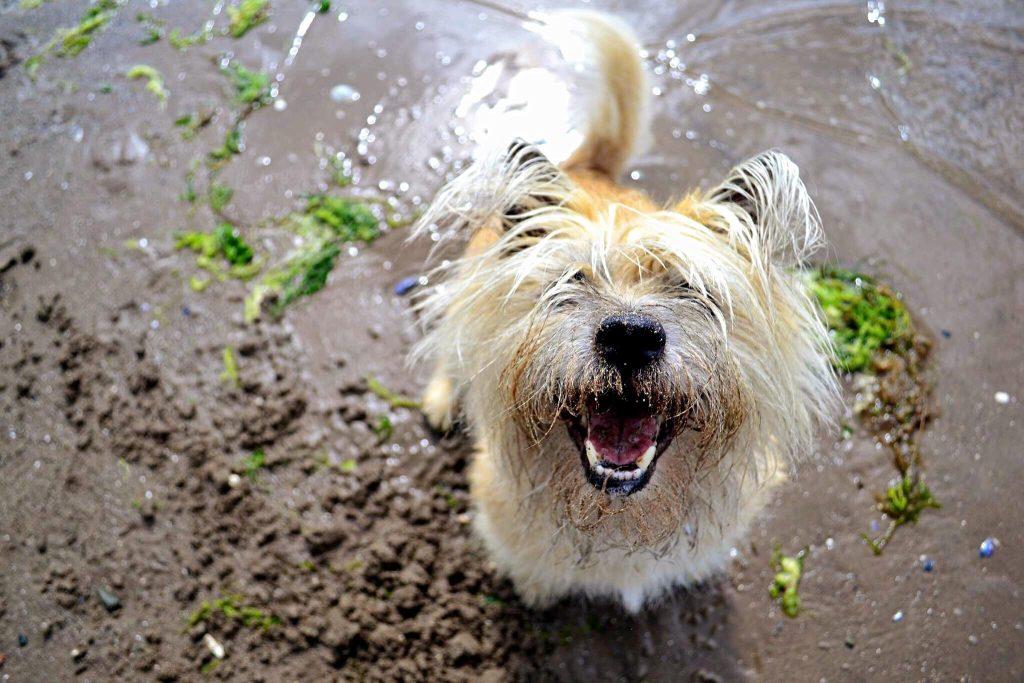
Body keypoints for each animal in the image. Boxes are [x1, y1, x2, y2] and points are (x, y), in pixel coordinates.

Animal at [411, 9, 835, 610]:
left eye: (692, 288)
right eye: (570, 280)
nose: (630, 336)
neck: (618, 516)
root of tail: (589, 166)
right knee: (451, 348)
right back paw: (444, 399)